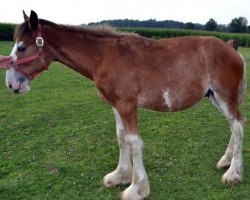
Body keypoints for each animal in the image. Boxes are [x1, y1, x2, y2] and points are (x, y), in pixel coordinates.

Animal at [3, 11, 246, 200]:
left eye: (22, 47)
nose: (11, 83)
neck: (105, 56)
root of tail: (230, 47)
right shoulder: (116, 106)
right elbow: (121, 138)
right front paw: (120, 175)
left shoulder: (128, 106)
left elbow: (133, 142)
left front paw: (136, 188)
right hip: (215, 98)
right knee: (235, 124)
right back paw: (226, 161)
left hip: (224, 97)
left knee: (237, 126)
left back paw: (233, 174)